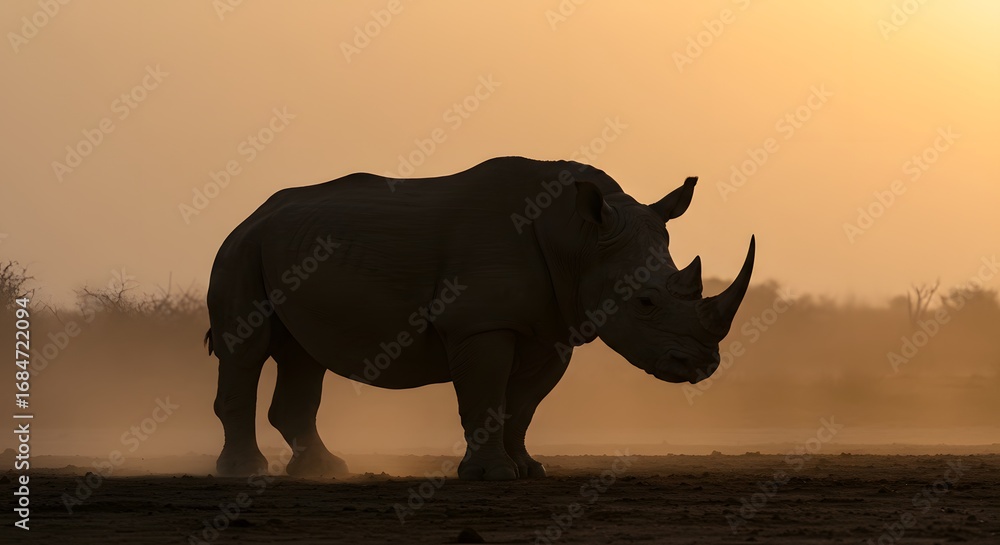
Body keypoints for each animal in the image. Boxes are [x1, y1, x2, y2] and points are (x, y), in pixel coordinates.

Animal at [205, 156, 754, 480]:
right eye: (644, 302)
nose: (702, 365)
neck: (579, 239)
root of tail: (252, 215)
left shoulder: (552, 330)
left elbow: (523, 405)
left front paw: (529, 469)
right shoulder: (479, 323)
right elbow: (486, 394)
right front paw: (491, 476)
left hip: (276, 247)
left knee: (302, 355)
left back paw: (323, 471)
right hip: (240, 250)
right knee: (247, 349)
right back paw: (243, 473)